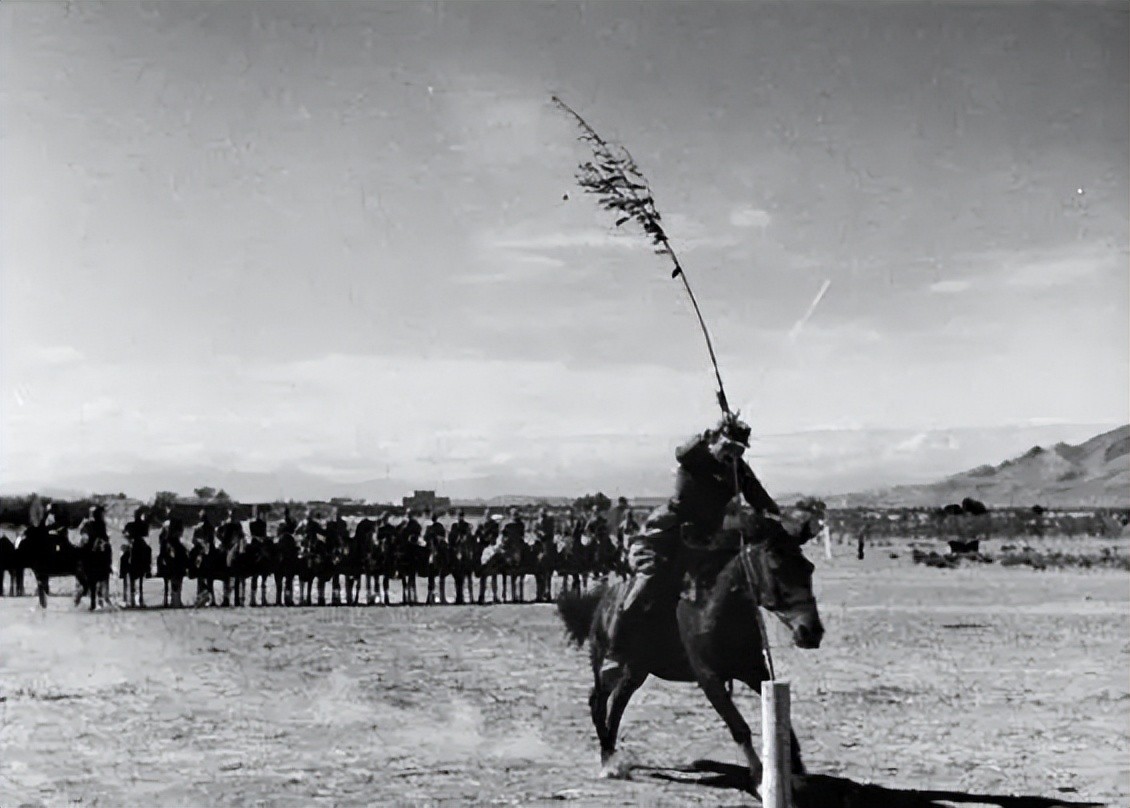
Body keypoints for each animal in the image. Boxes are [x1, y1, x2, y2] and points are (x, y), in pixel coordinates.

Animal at [555, 510, 824, 788]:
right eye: (775, 567)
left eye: (809, 567)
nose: (811, 631)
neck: (715, 610)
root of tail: (601, 603)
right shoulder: (709, 679)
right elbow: (738, 727)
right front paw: (760, 777)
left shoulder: (754, 672)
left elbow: (785, 725)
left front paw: (795, 772)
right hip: (606, 664)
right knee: (598, 701)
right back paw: (607, 761)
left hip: (636, 671)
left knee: (618, 701)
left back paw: (612, 754)